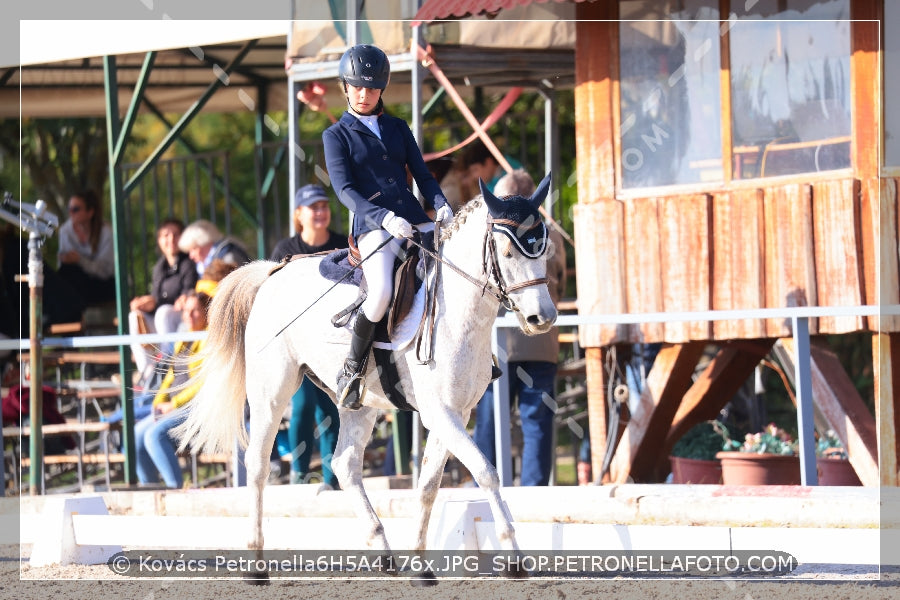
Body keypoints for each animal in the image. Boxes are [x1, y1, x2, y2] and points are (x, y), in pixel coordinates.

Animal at [173, 172, 560, 572]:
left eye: (545, 249)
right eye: (509, 252)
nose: (542, 318)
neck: (457, 311)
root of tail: (273, 272)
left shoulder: (457, 411)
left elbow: (427, 485)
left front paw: (420, 561)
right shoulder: (440, 412)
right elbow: (485, 472)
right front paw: (514, 556)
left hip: (358, 402)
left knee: (344, 464)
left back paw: (382, 548)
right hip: (271, 393)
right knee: (258, 464)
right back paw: (256, 555)